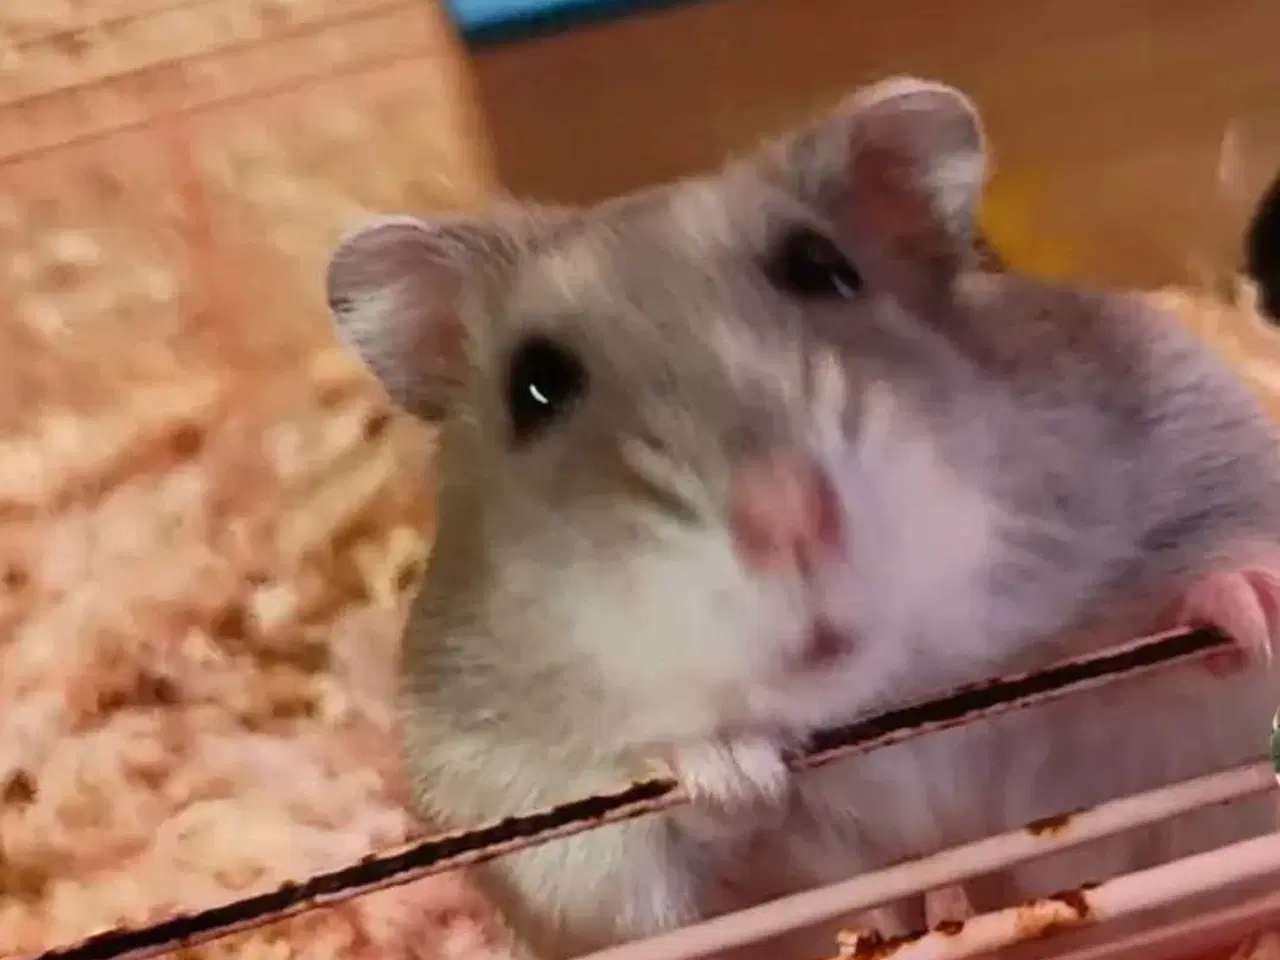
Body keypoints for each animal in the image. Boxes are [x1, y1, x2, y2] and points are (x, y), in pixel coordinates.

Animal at [324, 77, 1280, 959]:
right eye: (536, 386)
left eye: (824, 268)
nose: (787, 518)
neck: (880, 702)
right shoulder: (512, 797)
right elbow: (642, 846)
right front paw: (722, 769)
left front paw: (1249, 605)